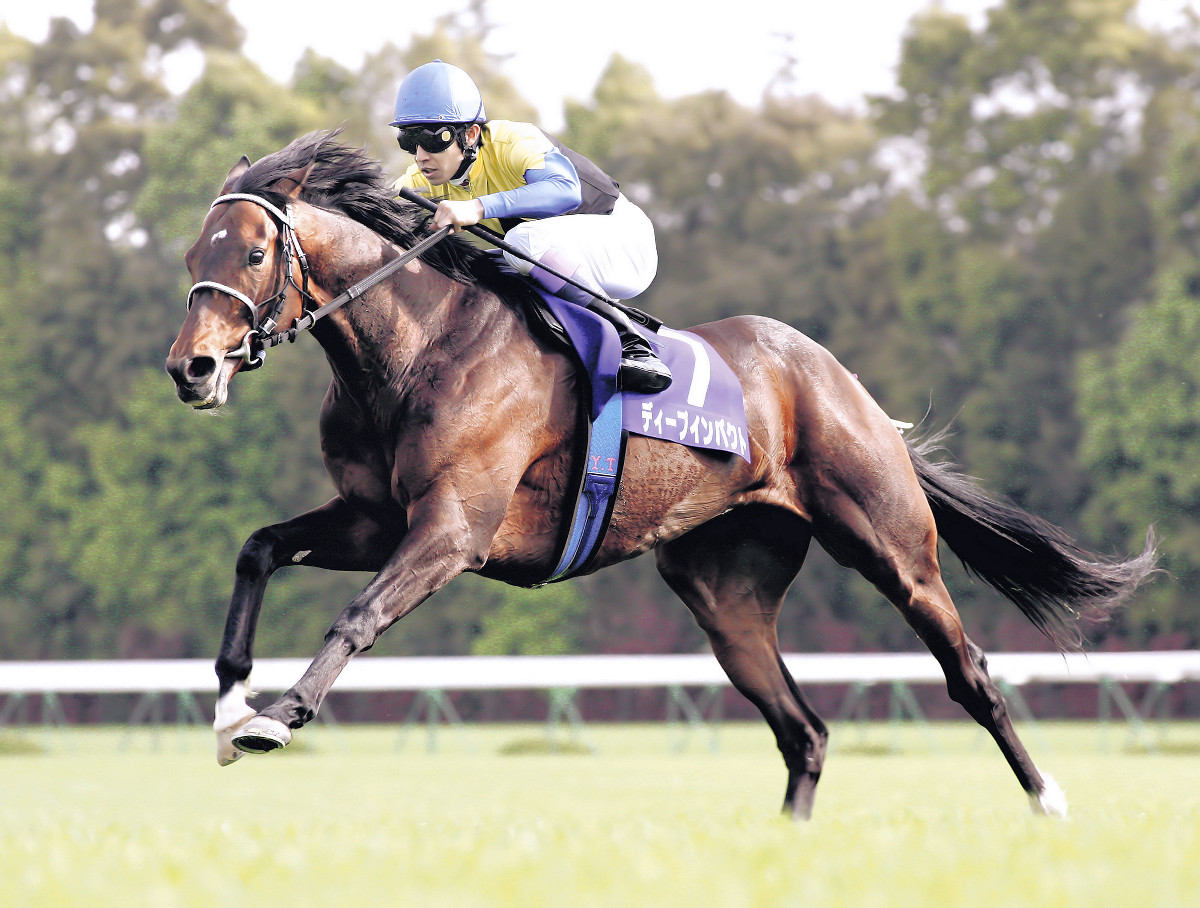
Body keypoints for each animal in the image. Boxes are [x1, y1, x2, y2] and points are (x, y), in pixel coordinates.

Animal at [165, 132, 1157, 820]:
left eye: (252, 254)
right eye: (190, 257)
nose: (192, 369)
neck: (415, 347)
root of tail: (845, 386)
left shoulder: (452, 529)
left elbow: (359, 614)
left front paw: (279, 714)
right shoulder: (374, 518)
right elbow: (259, 549)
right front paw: (227, 706)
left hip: (890, 544)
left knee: (969, 672)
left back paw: (1048, 798)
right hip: (724, 592)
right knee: (804, 730)